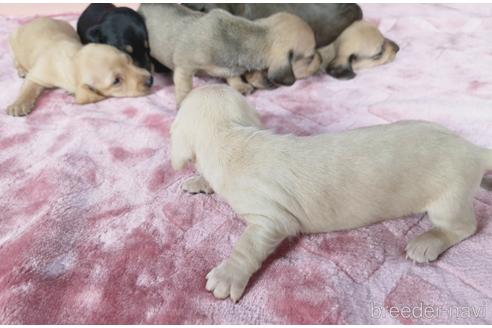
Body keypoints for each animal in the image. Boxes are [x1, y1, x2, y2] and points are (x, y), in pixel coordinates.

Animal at [7, 17, 152, 116]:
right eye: (116, 81)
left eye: (129, 60)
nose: (151, 80)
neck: (73, 57)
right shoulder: (38, 74)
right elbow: (28, 88)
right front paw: (18, 104)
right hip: (14, 40)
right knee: (15, 59)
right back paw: (21, 69)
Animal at [137, 4, 320, 106]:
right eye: (310, 57)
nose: (321, 59)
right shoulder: (184, 68)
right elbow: (185, 88)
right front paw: (183, 103)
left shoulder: (230, 69)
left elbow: (233, 77)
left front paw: (240, 86)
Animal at [170, 85, 492, 302]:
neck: (230, 136)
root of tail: (473, 150)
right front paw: (199, 181)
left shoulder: (271, 218)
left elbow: (248, 244)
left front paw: (228, 275)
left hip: (449, 198)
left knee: (464, 227)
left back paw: (427, 242)